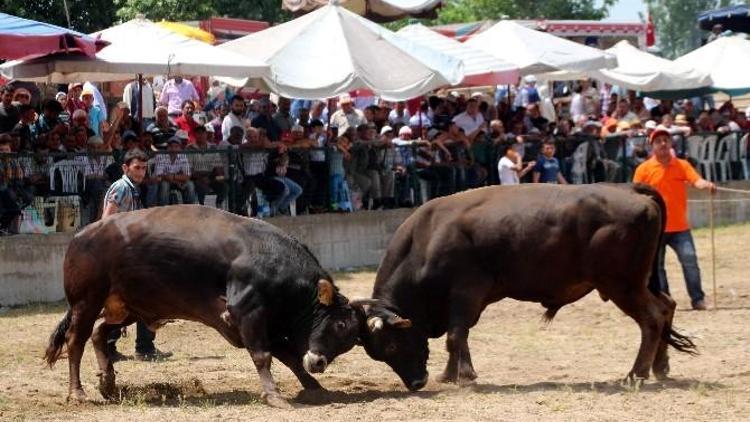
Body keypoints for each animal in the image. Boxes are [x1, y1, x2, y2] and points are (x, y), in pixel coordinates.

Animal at [44, 206, 368, 408]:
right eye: (339, 324)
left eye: (352, 340)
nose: (319, 362)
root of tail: (81, 236)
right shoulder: (245, 314)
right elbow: (264, 356)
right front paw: (275, 395)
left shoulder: (262, 325)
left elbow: (289, 357)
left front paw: (314, 387)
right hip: (86, 302)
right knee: (75, 341)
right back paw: (78, 392)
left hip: (127, 308)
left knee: (99, 333)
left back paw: (108, 384)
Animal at [358, 183, 700, 390]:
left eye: (391, 346)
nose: (416, 383)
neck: (427, 237)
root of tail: (630, 189)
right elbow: (458, 337)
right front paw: (452, 375)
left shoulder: (465, 294)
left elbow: (456, 335)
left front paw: (461, 376)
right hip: (639, 284)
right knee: (666, 307)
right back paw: (660, 367)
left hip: (622, 286)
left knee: (651, 318)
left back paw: (635, 374)